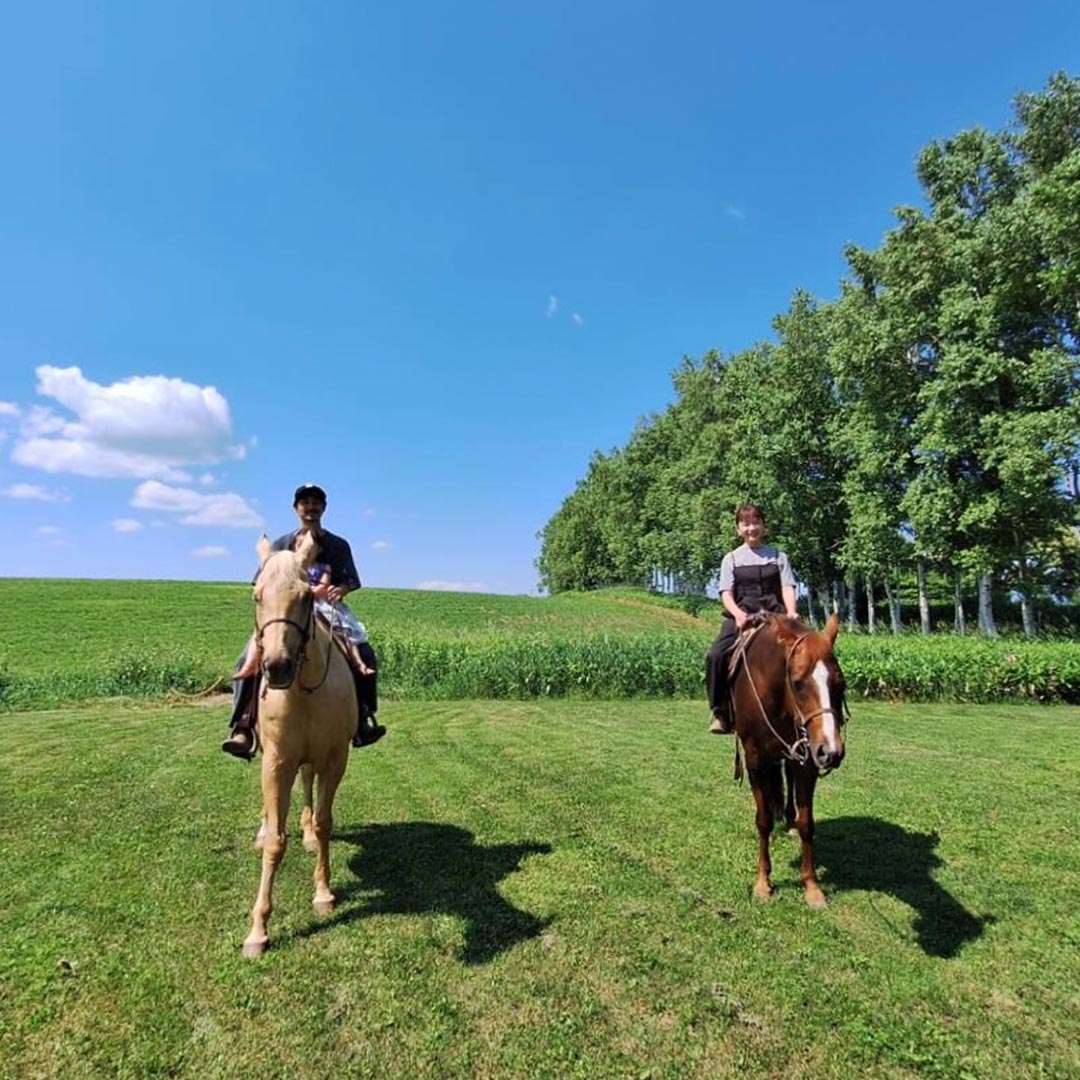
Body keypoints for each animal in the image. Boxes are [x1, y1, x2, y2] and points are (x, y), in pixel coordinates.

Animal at [241, 535, 356, 959]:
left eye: (308, 596)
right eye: (257, 595)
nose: (277, 666)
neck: (304, 690)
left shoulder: (335, 758)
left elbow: (323, 823)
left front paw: (323, 893)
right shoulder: (277, 761)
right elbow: (276, 841)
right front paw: (258, 931)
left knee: (307, 786)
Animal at [730, 613, 846, 907]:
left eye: (840, 683)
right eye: (797, 682)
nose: (832, 752)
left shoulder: (807, 759)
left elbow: (807, 823)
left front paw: (812, 887)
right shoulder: (755, 760)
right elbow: (763, 820)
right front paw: (763, 883)